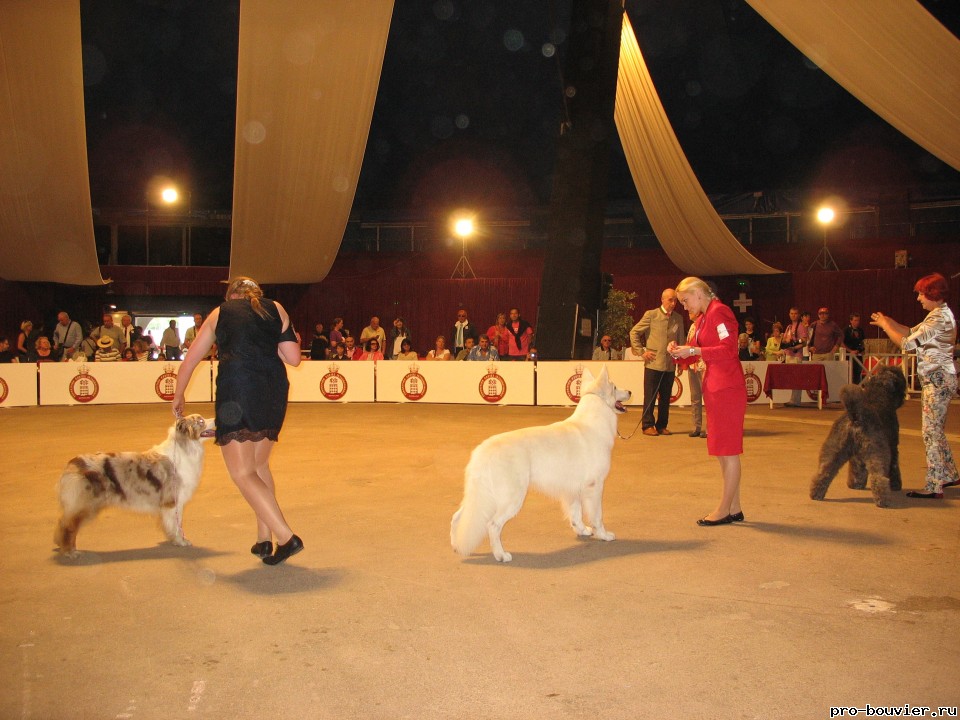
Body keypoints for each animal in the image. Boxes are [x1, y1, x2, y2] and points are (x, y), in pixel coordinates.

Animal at [450, 366, 632, 564]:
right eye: (614, 387)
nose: (630, 391)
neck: (594, 422)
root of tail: (482, 450)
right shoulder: (595, 486)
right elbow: (597, 516)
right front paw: (604, 535)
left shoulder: (573, 489)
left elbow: (576, 514)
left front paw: (582, 530)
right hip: (511, 498)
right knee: (492, 524)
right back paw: (501, 555)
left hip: (481, 497)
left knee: (457, 516)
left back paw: (456, 546)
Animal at [808, 366, 908, 506]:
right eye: (900, 381)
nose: (904, 395)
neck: (879, 396)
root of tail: (855, 417)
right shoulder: (893, 447)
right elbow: (894, 468)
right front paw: (896, 485)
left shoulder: (856, 455)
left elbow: (857, 468)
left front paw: (856, 484)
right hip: (877, 451)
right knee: (878, 477)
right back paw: (883, 500)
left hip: (834, 449)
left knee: (824, 472)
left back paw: (816, 494)